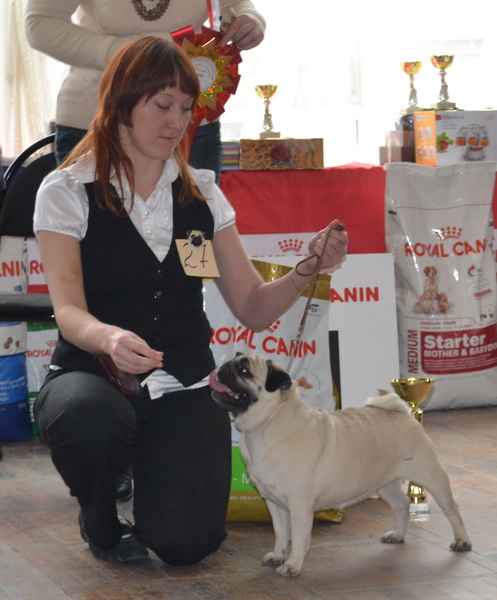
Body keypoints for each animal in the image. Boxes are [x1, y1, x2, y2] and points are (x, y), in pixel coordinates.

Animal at [209, 354, 471, 577]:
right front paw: (277, 556)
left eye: (244, 371)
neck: (267, 422)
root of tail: (403, 414)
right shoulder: (274, 503)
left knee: (452, 509)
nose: (224, 365)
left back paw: (462, 541)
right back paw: (397, 535)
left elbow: (299, 538)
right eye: (234, 361)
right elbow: (281, 534)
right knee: (402, 504)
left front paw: (292, 566)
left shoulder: (299, 506)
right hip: (385, 484)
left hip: (431, 476)